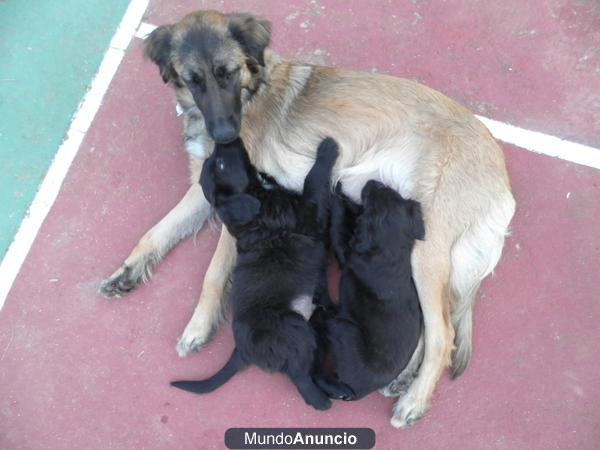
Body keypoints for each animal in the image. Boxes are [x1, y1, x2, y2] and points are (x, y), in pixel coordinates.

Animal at [170, 138, 338, 412]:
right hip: (293, 329)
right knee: (299, 374)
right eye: (221, 164)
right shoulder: (305, 215)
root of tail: (241, 350)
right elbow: (312, 181)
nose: (228, 138)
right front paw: (327, 150)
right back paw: (320, 400)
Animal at [312, 179, 424, 400]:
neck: (390, 254)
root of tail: (358, 391)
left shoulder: (348, 256)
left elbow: (339, 225)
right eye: (386, 189)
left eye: (371, 194)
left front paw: (336, 194)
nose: (372, 181)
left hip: (343, 328)